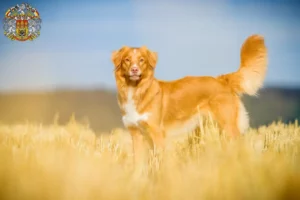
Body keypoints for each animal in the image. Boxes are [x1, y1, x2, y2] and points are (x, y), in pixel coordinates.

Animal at [110, 34, 268, 162]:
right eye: (127, 60)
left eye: (141, 60)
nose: (134, 70)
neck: (136, 90)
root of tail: (222, 80)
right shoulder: (136, 135)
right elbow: (138, 164)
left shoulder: (157, 134)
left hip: (228, 127)